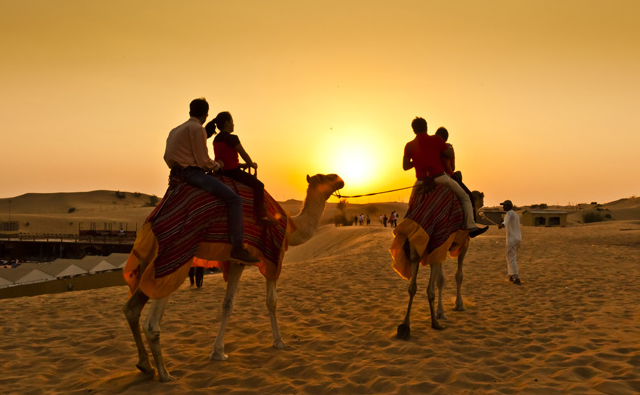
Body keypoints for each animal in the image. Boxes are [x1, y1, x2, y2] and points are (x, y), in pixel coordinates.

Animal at [124, 173, 344, 380]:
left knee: (131, 309)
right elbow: (272, 301)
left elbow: (227, 304)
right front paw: (280, 342)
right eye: (324, 178)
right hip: (173, 259)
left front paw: (218, 352)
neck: (291, 226)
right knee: (152, 323)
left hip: (148, 261)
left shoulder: (237, 261)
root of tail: (151, 223)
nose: (340, 180)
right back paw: (165, 374)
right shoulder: (272, 258)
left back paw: (145, 365)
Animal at [390, 186, 484, 340]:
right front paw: (458, 305)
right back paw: (433, 323)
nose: (482, 204)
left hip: (416, 248)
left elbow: (440, 280)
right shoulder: (463, 243)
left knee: (413, 286)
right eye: (479, 199)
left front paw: (440, 312)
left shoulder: (440, 249)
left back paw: (405, 325)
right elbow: (458, 276)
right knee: (429, 288)